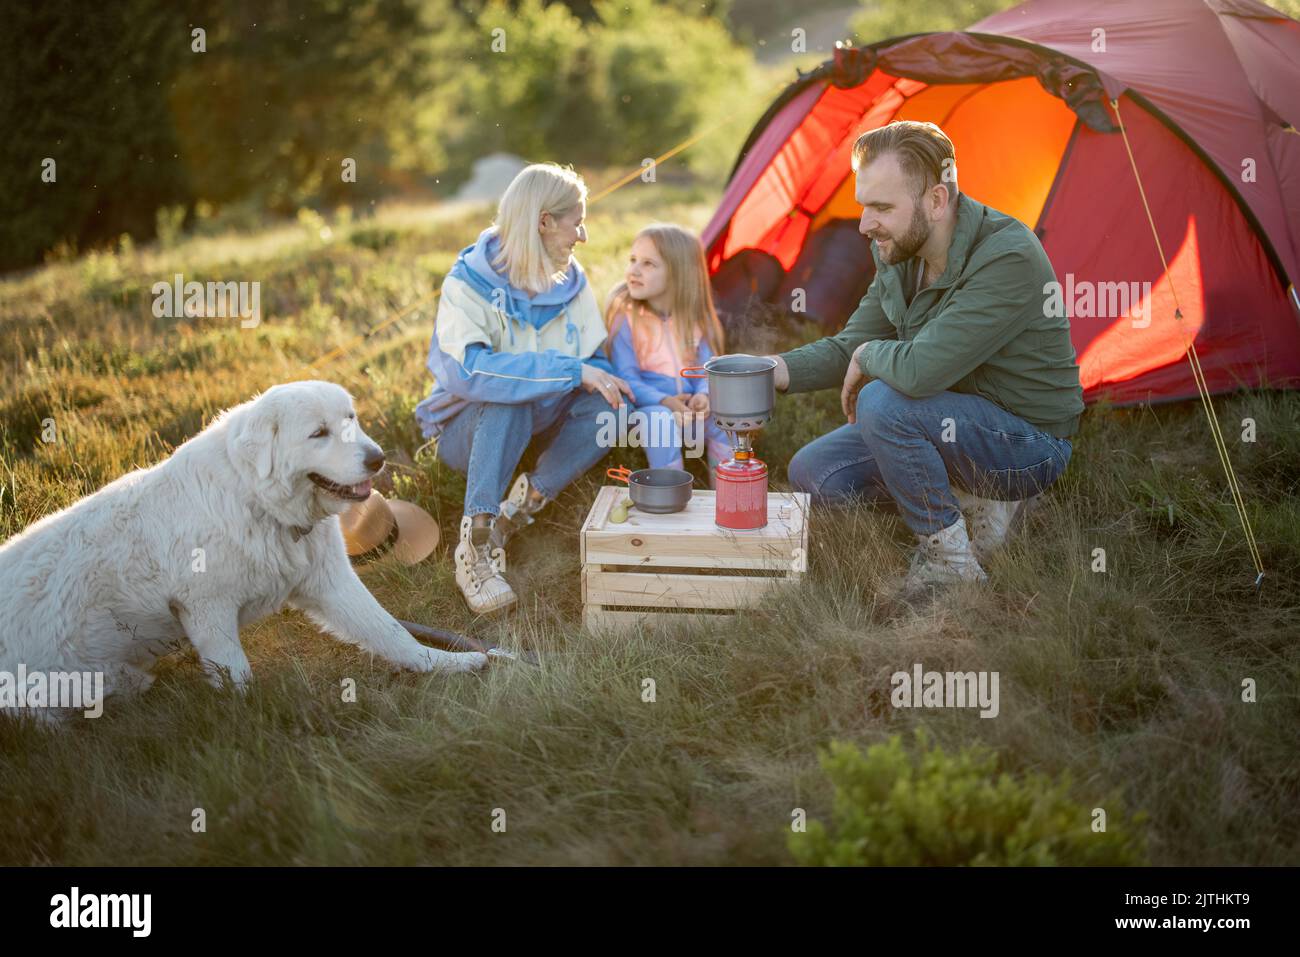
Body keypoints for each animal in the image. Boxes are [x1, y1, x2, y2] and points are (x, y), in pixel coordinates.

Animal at [0, 377, 488, 712]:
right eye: (318, 433)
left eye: (350, 419)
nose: (377, 458)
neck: (255, 501)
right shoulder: (206, 609)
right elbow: (237, 676)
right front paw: (250, 722)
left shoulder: (330, 582)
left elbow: (392, 633)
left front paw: (447, 664)